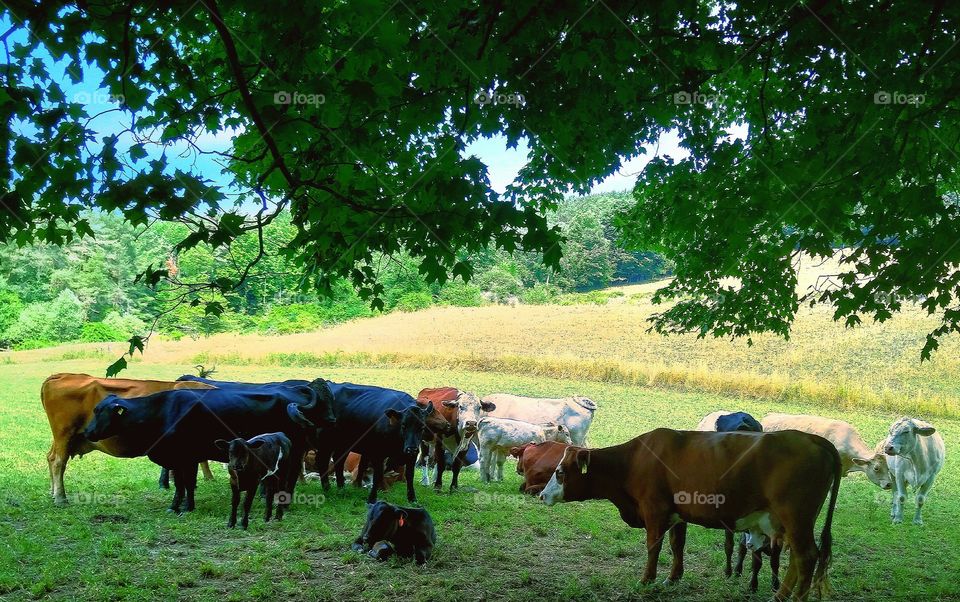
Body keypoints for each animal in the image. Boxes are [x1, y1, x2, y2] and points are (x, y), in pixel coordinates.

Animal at [41, 373, 217, 506]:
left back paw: (52, 491)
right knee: (58, 461)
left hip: (63, 438)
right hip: (65, 433)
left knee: (50, 457)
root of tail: (63, 375)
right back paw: (60, 498)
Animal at [82, 379, 335, 513]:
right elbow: (182, 484)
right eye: (95, 409)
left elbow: (185, 484)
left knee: (290, 476)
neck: (163, 411)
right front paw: (180, 506)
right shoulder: (180, 459)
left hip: (292, 451)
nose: (87, 432)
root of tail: (293, 390)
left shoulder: (186, 457)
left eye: (102, 412)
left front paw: (183, 507)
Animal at [540, 429, 841, 601]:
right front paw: (672, 578)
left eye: (560, 472)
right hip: (791, 524)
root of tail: (814, 439)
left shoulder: (655, 510)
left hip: (796, 518)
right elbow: (677, 545)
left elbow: (653, 546)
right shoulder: (677, 514)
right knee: (798, 560)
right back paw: (779, 596)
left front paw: (646, 579)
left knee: (806, 557)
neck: (633, 460)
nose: (542, 495)